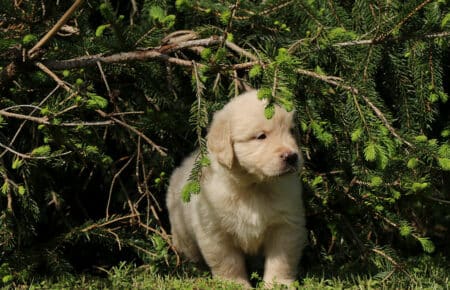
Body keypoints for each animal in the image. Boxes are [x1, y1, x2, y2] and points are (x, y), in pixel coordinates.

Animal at [167, 90, 308, 288]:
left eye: (291, 131)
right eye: (261, 136)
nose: (292, 156)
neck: (254, 187)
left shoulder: (285, 225)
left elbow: (281, 261)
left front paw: (278, 284)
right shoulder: (215, 231)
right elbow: (228, 263)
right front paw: (236, 284)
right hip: (182, 234)